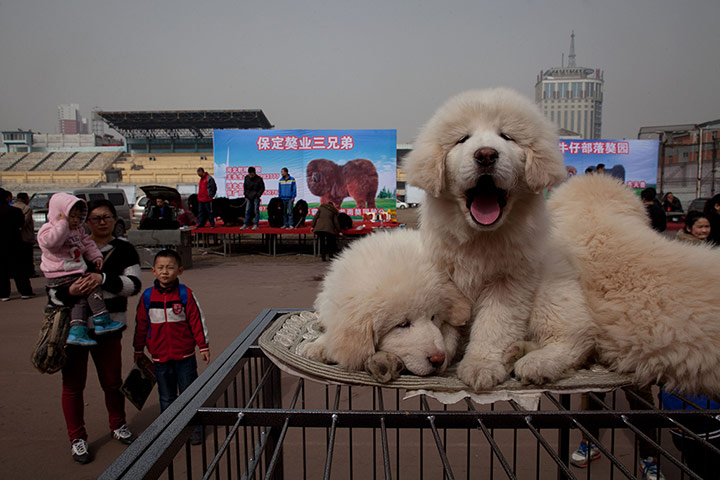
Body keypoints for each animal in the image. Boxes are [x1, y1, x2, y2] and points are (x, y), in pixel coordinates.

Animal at [404, 88, 596, 392]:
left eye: (507, 137)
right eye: (462, 139)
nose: (485, 155)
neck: (480, 237)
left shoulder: (509, 282)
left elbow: (494, 325)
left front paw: (481, 365)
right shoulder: (443, 275)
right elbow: (446, 321)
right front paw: (443, 350)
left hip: (553, 293)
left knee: (574, 339)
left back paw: (537, 363)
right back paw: (518, 351)